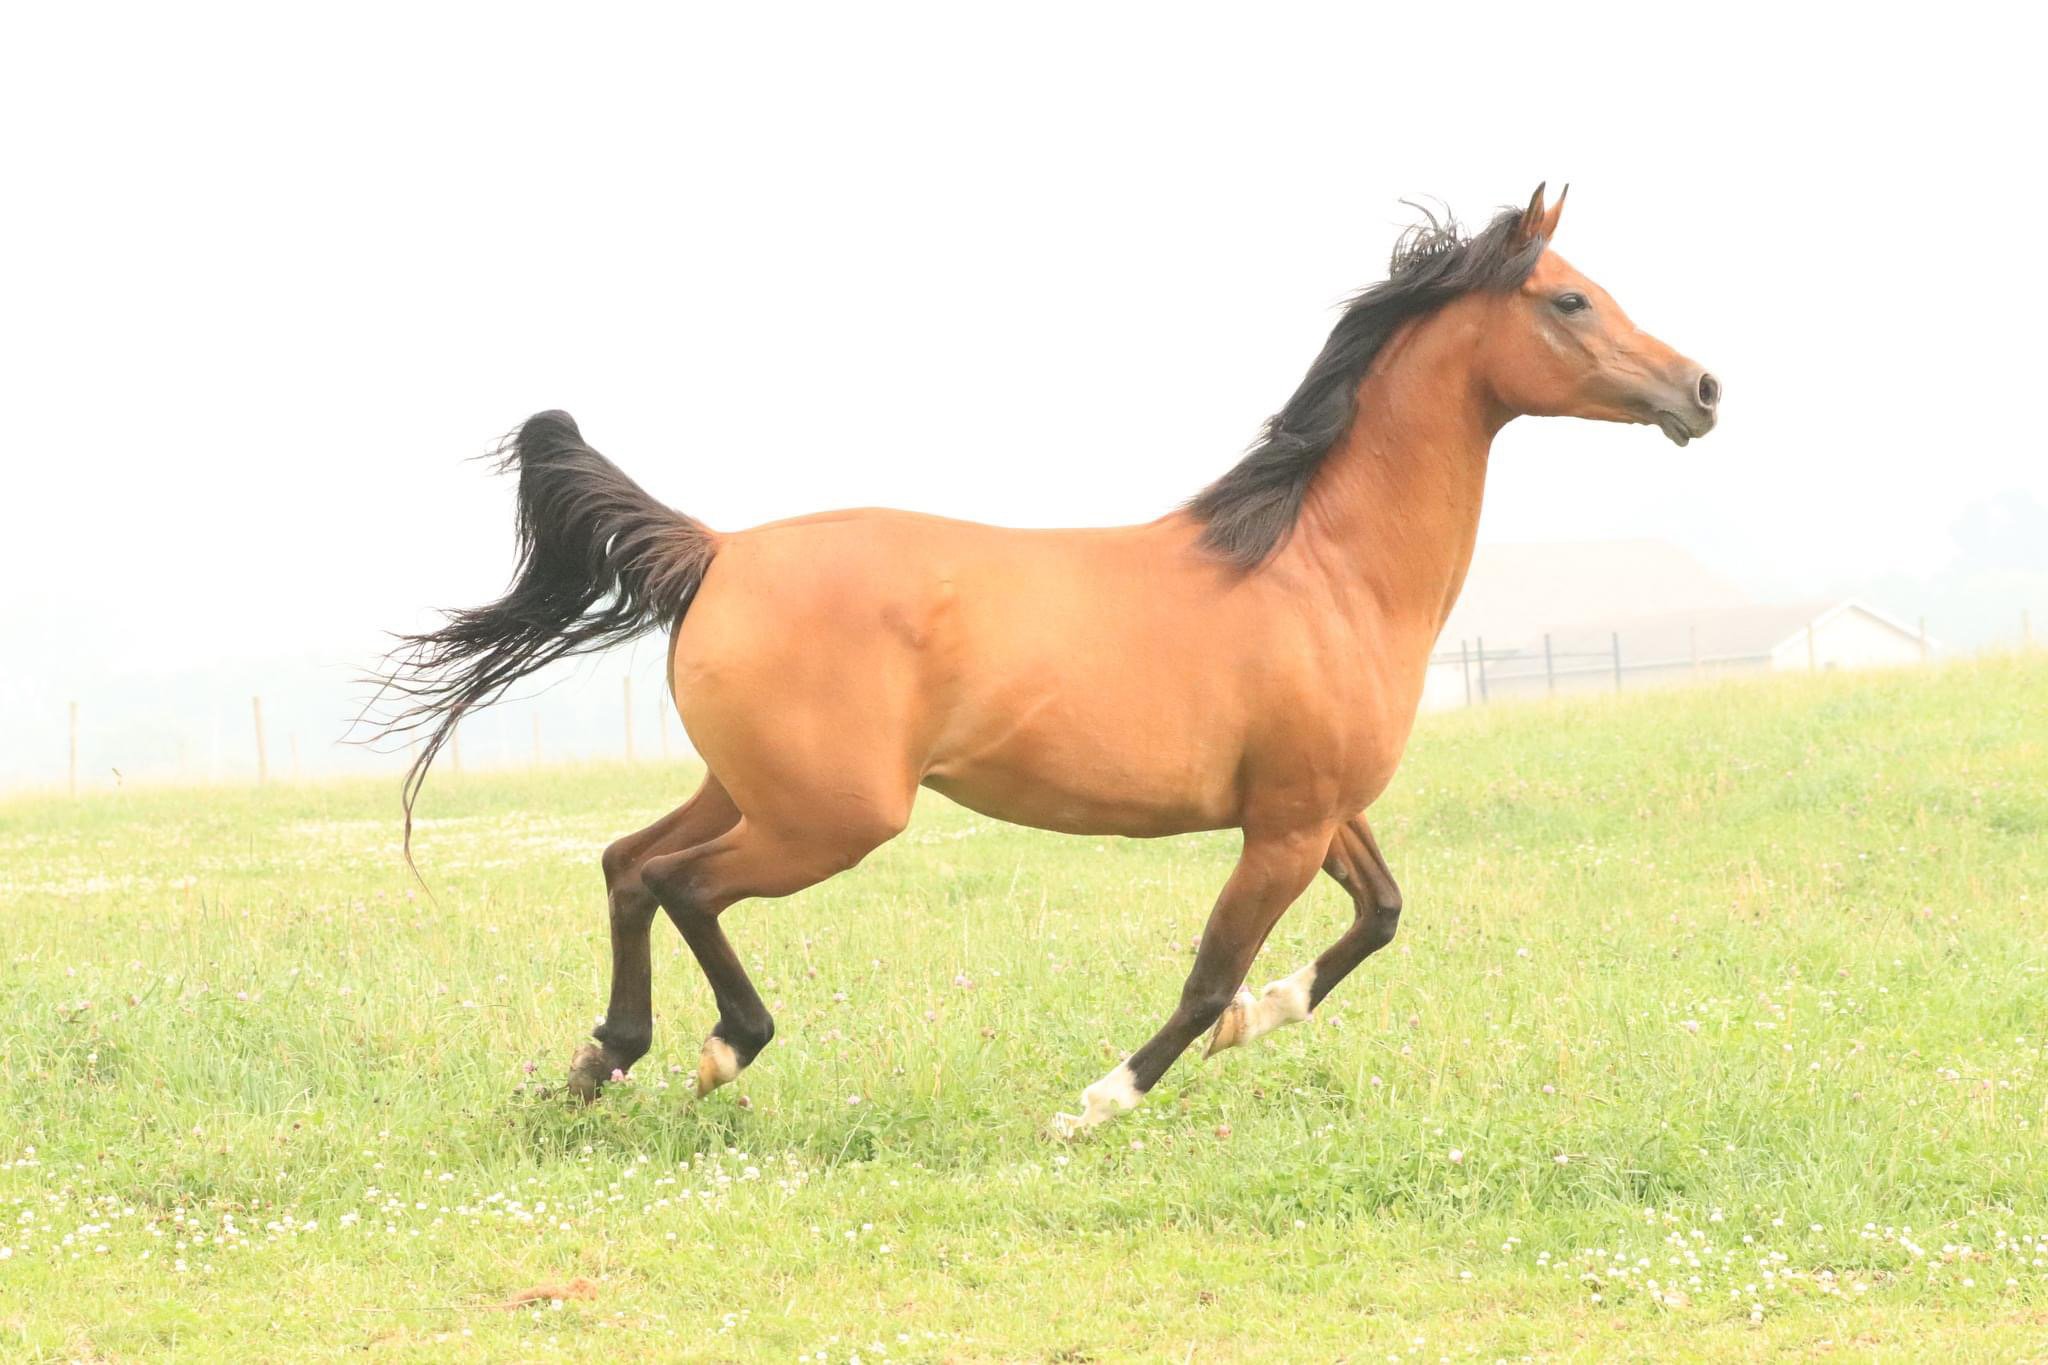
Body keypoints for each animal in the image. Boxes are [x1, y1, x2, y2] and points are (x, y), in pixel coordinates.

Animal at [373, 184, 1718, 1134]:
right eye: (1569, 302)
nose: (1700, 390)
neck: (1321, 571)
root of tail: (719, 552)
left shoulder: (1319, 809)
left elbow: (1378, 915)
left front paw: (1264, 1017)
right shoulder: (1281, 828)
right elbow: (1206, 974)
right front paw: (1099, 1102)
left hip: (751, 789)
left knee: (624, 865)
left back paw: (598, 1062)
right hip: (830, 819)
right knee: (679, 884)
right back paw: (718, 1049)